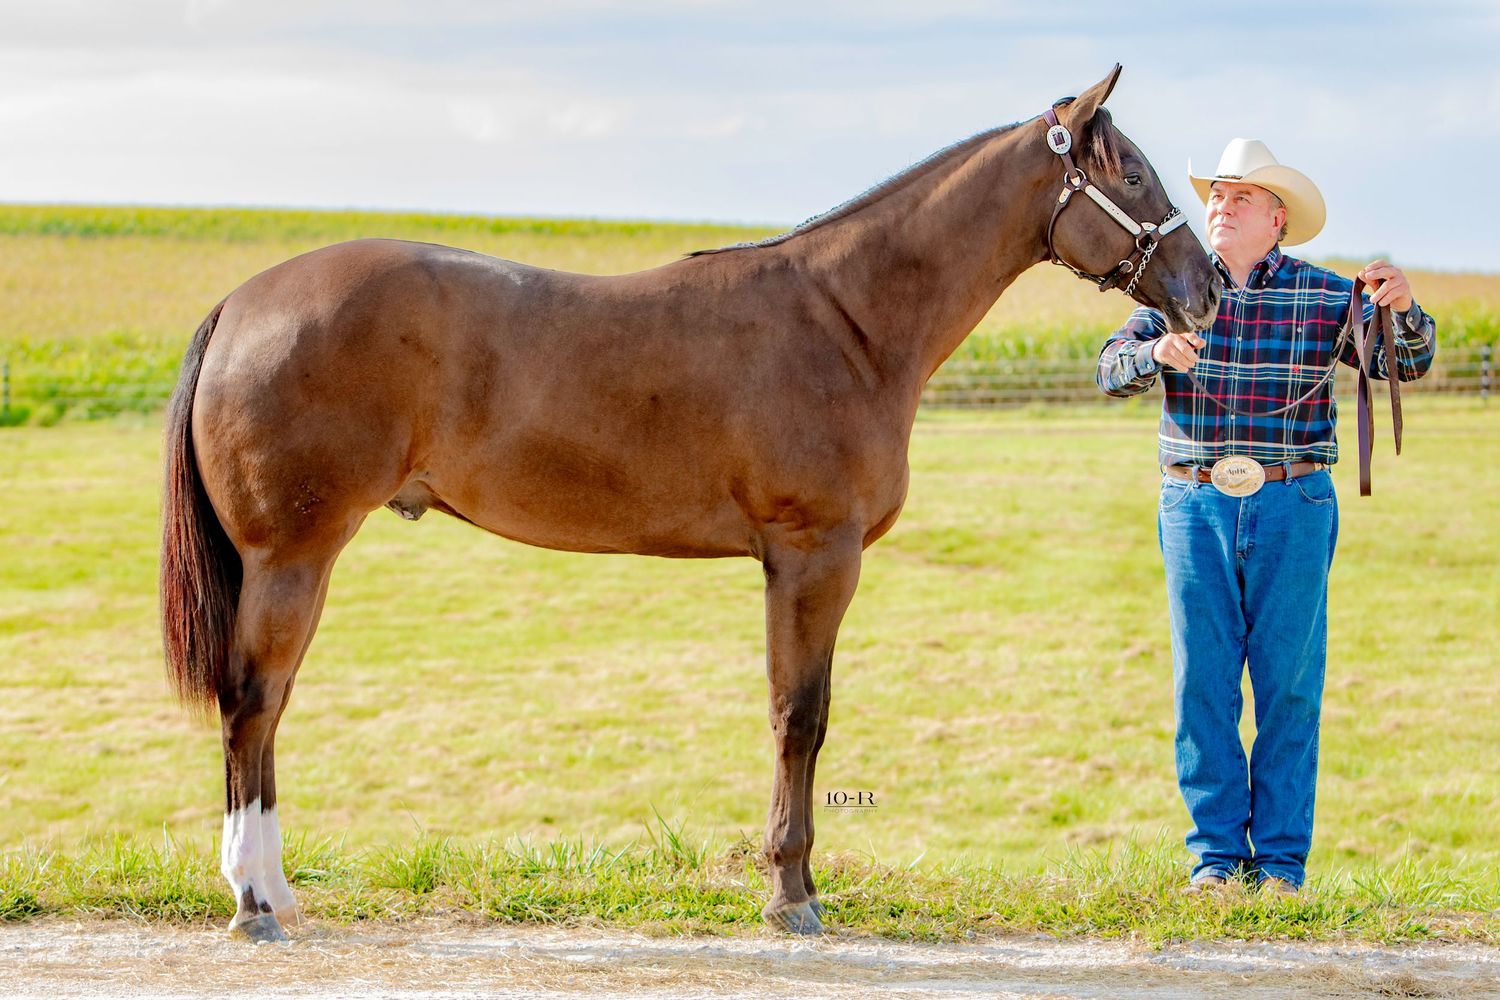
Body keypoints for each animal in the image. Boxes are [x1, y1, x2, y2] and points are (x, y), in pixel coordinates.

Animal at [160, 65, 1221, 942]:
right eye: (1133, 177)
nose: (1208, 287)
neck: (847, 321)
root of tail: (243, 304)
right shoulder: (814, 555)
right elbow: (800, 716)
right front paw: (791, 896)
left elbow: (801, 713)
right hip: (292, 556)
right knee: (253, 703)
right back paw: (254, 903)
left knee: (267, 707)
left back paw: (276, 891)